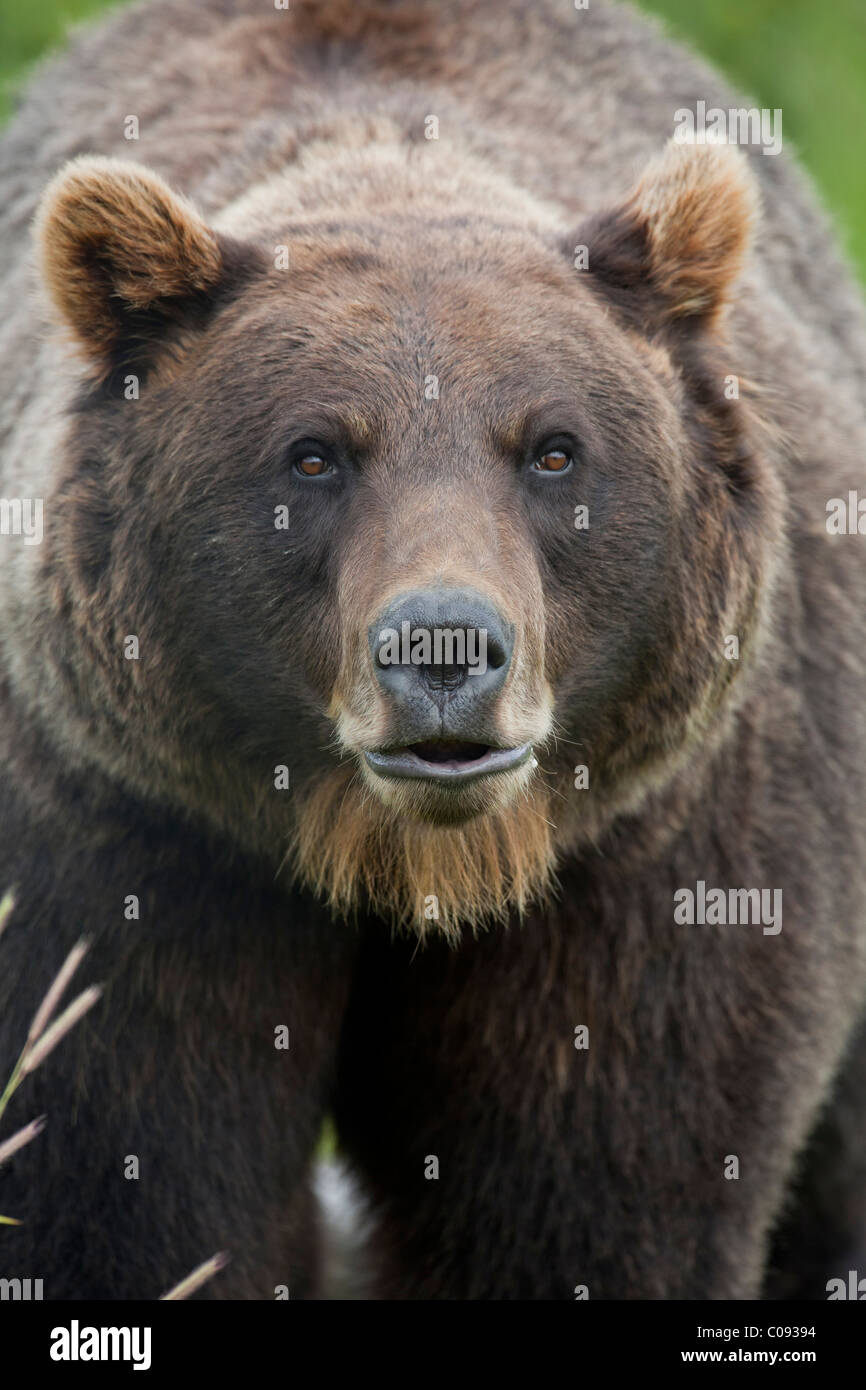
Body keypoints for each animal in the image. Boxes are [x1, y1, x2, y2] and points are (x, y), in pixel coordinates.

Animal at [1, 0, 866, 1300]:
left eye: (552, 448)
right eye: (313, 453)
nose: (445, 646)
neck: (403, 863)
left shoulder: (653, 857)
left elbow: (588, 1194)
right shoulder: (135, 838)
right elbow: (128, 1178)